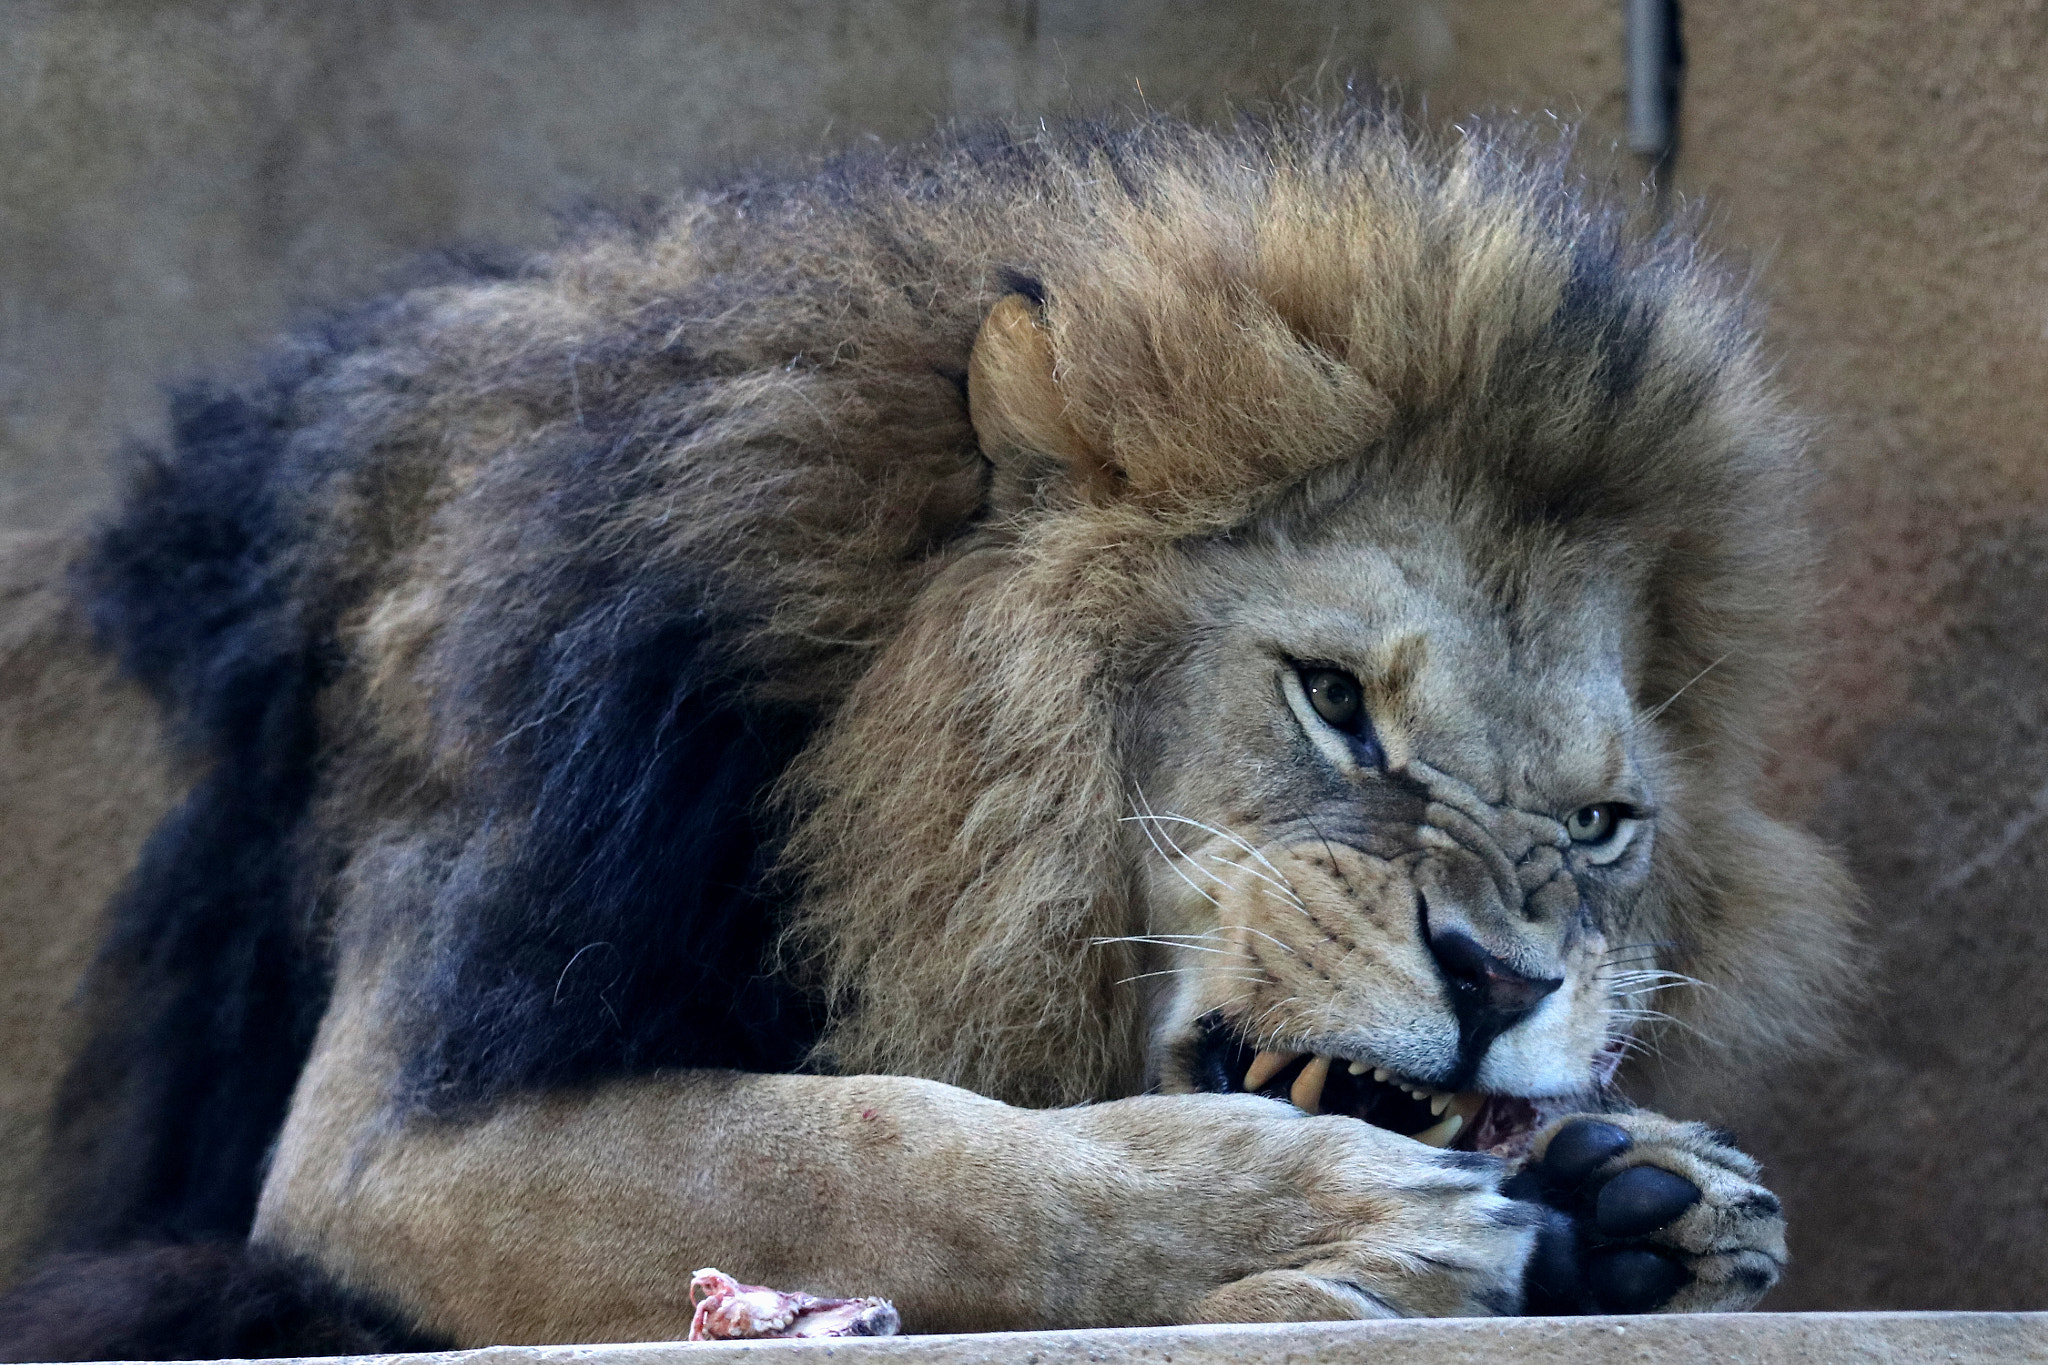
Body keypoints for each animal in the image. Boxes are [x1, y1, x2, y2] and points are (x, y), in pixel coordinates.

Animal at [0, 108, 1856, 1359]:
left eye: (1602, 822)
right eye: (1333, 702)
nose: (1499, 981)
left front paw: (1645, 1192)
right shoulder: (381, 1146)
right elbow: (868, 1145)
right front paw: (1320, 1209)